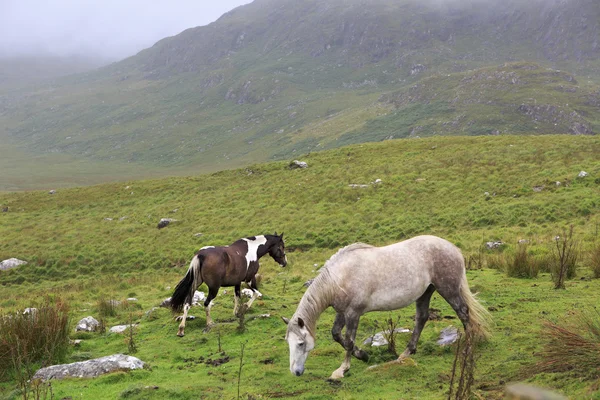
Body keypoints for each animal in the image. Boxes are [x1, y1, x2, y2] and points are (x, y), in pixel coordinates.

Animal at [284, 236, 490, 380]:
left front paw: (342, 370)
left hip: (448, 289)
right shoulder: (342, 312)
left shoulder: (353, 313)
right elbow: (336, 334)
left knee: (463, 313)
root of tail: (453, 248)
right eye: (288, 343)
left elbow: (348, 341)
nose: (295, 371)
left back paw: (468, 347)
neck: (339, 278)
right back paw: (405, 354)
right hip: (425, 292)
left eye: (300, 343)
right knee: (422, 318)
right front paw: (363, 355)